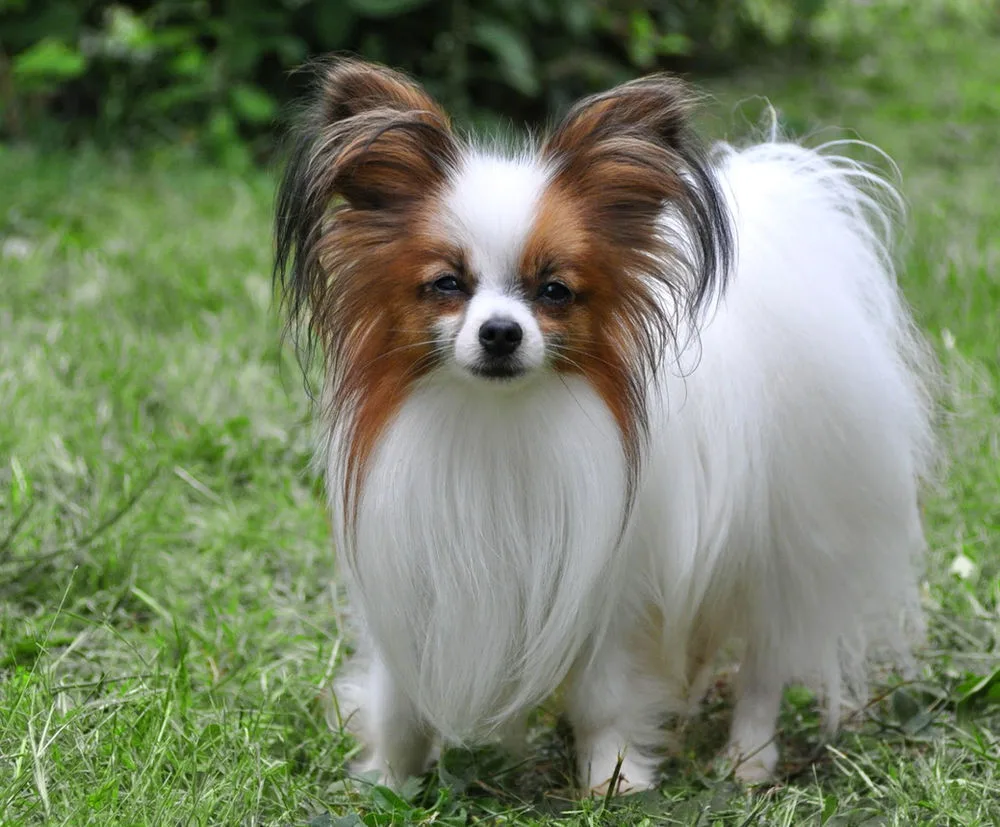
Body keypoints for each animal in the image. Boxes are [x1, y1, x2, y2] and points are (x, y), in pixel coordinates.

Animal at [274, 58, 936, 796]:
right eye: (447, 284)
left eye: (555, 291)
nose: (500, 332)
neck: (495, 423)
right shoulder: (408, 582)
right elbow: (399, 704)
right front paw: (390, 782)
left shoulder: (612, 593)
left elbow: (604, 698)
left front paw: (612, 778)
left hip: (783, 545)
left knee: (766, 665)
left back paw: (748, 758)